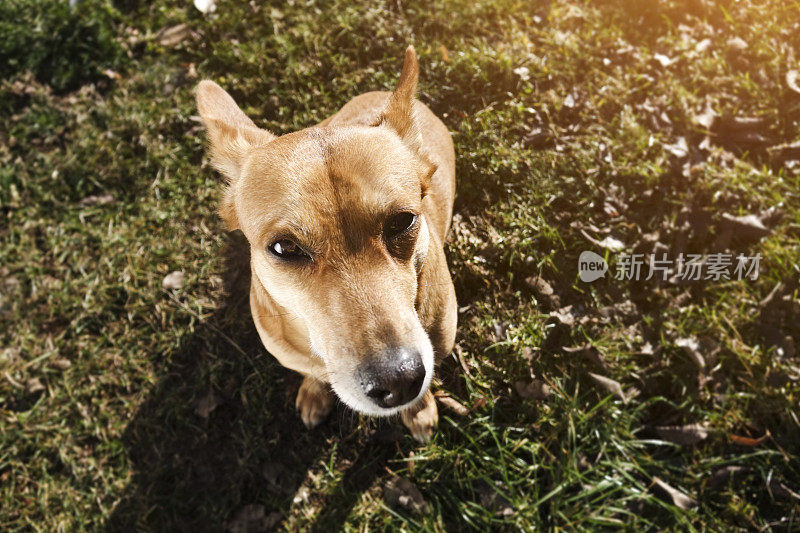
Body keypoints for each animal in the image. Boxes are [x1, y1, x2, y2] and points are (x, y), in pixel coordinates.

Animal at [195, 46, 456, 440]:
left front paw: (420, 409)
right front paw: (315, 392)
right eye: (284, 248)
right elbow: (312, 373)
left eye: (403, 221)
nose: (399, 381)